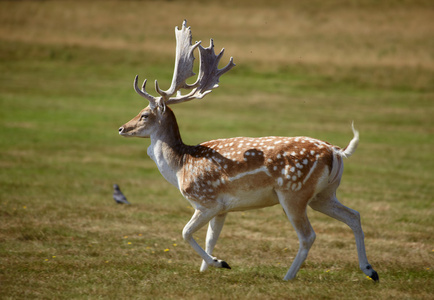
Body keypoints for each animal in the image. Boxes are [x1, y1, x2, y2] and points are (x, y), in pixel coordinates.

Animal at [117, 20, 378, 282]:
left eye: (144, 114)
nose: (121, 128)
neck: (181, 166)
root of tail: (336, 152)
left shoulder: (206, 200)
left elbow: (185, 232)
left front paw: (220, 262)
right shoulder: (222, 209)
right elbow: (211, 238)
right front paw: (208, 268)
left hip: (294, 192)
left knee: (308, 235)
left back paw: (288, 277)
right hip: (323, 194)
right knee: (354, 215)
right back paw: (370, 270)